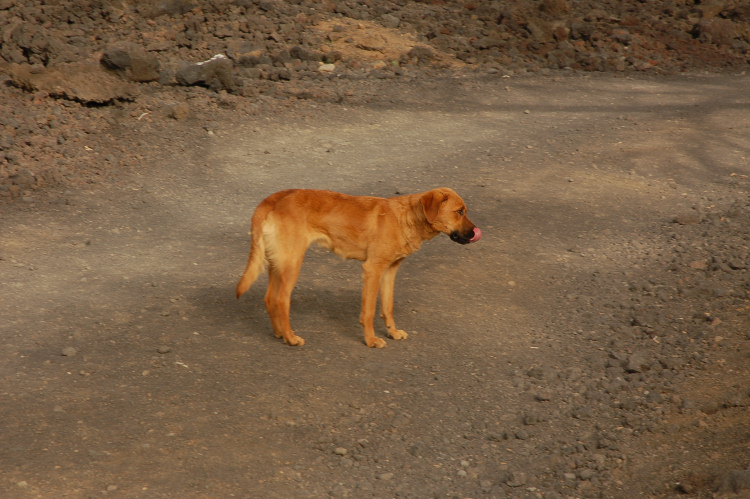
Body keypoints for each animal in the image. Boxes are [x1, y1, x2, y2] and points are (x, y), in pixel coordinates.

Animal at [235, 188, 482, 348]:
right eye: (460, 211)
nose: (475, 232)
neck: (406, 217)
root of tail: (274, 198)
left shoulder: (390, 271)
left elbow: (387, 307)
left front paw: (392, 332)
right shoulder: (373, 270)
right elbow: (370, 311)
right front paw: (371, 340)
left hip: (278, 263)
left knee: (269, 298)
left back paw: (279, 333)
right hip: (292, 263)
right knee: (280, 300)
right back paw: (290, 337)